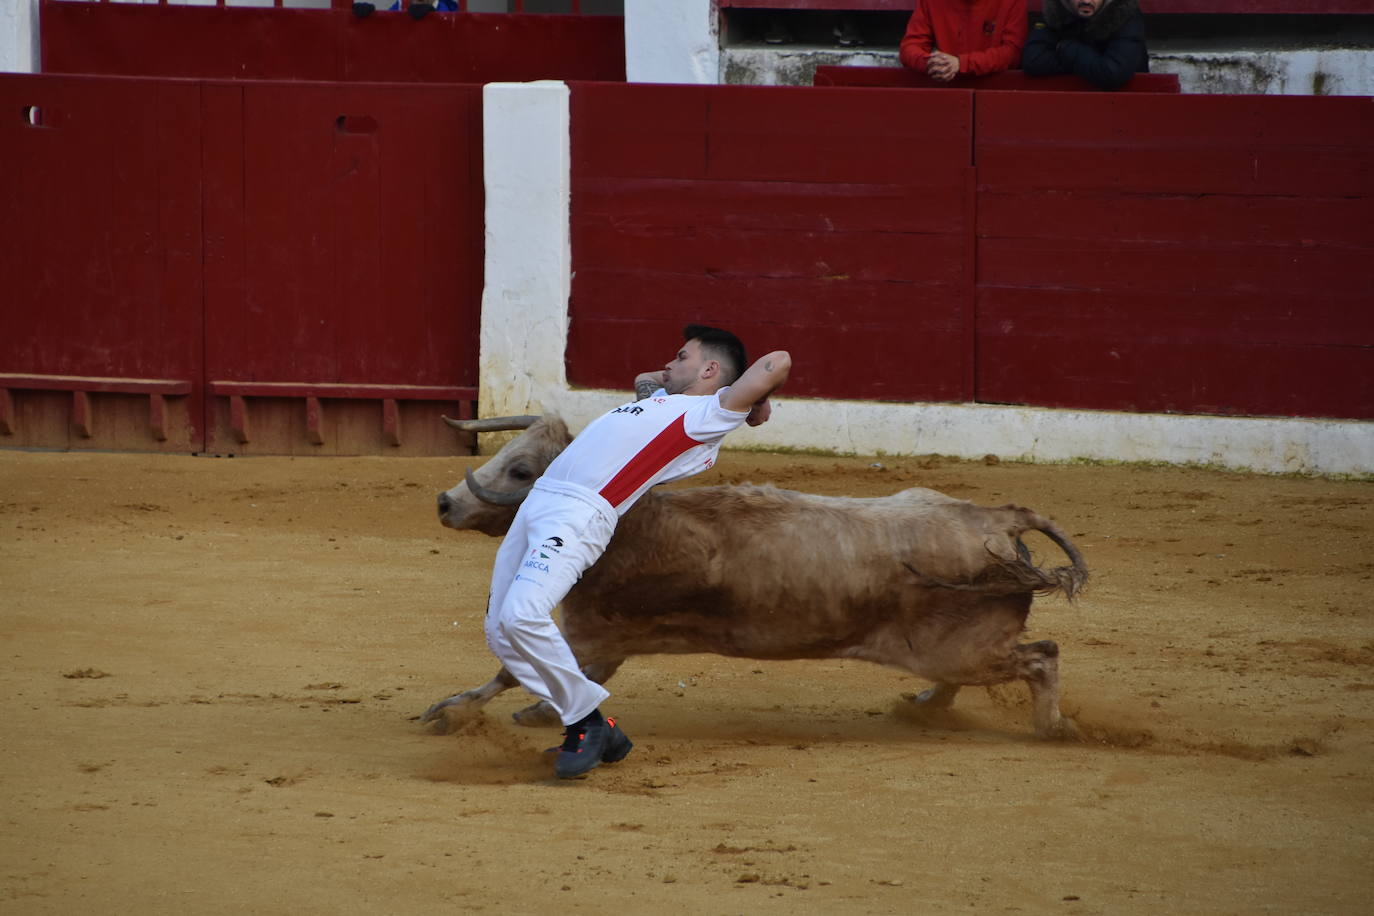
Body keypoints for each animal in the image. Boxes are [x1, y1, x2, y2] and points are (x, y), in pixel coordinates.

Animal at [423, 414, 1088, 736]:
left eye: (521, 470)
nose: (446, 503)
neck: (636, 524)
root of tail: (999, 516)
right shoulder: (602, 642)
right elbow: (539, 675)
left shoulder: (594, 634)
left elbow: (516, 671)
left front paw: (462, 711)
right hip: (950, 650)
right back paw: (925, 708)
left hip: (961, 648)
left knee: (1042, 657)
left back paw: (1053, 729)